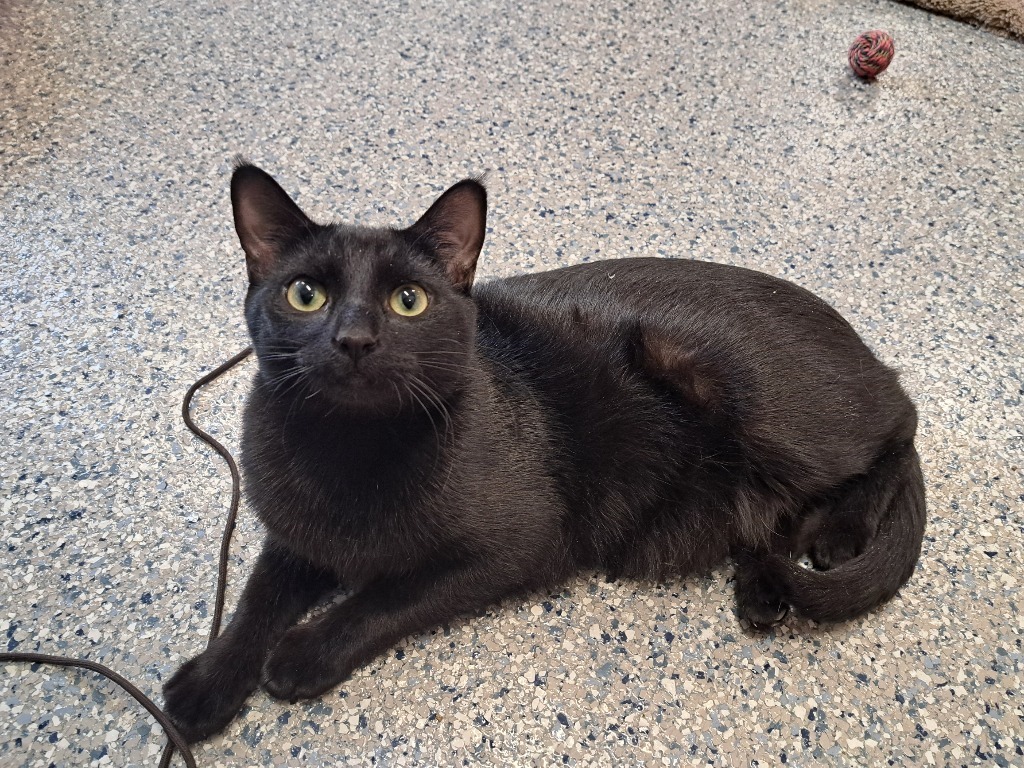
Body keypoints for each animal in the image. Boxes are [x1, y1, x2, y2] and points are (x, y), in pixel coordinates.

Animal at [161, 163, 929, 745]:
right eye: (305, 295)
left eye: (408, 301)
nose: (353, 339)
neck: (347, 454)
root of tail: (855, 339)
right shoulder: (295, 535)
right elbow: (256, 599)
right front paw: (208, 684)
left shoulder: (512, 547)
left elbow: (385, 597)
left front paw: (304, 652)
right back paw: (764, 587)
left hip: (759, 405)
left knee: (900, 427)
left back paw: (836, 536)